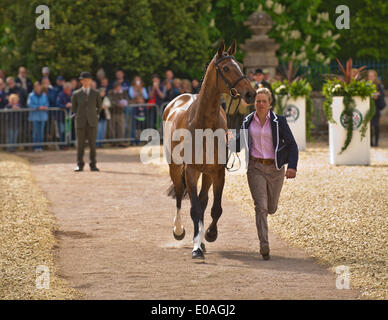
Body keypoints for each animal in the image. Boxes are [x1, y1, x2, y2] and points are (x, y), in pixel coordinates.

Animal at [162, 40, 256, 260]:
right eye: (226, 68)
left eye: (240, 65)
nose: (250, 93)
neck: (202, 123)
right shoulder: (190, 170)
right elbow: (194, 209)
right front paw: (196, 247)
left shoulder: (217, 172)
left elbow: (215, 209)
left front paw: (209, 235)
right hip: (175, 167)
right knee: (179, 196)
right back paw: (179, 231)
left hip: (206, 174)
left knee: (204, 201)